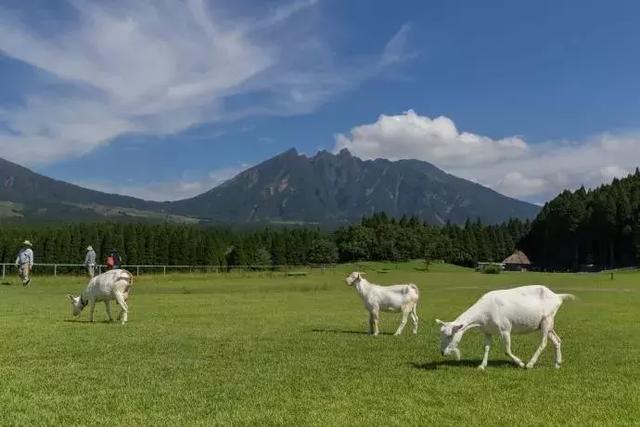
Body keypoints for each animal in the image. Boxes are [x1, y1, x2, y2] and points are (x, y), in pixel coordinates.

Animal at [438, 286, 572, 370]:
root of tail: (558, 297)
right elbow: (486, 347)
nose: (442, 352)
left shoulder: (505, 328)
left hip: (547, 319)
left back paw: (530, 364)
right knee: (557, 340)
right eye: (441, 334)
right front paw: (482, 366)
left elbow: (507, 350)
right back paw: (557, 364)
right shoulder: (487, 331)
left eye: (450, 335)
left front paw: (520, 363)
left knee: (543, 342)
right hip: (546, 324)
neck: (485, 311)